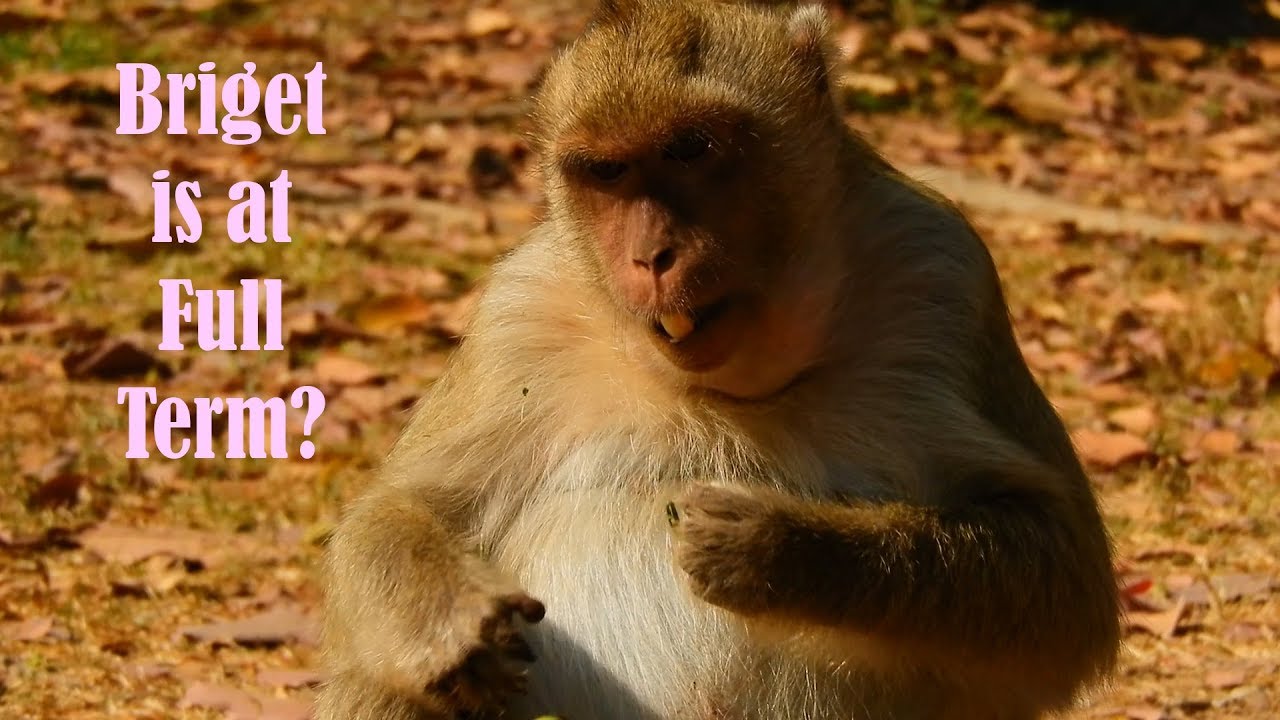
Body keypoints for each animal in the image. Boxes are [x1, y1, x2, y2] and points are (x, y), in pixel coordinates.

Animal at [315, 1, 1121, 719]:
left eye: (691, 149)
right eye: (606, 172)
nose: (652, 255)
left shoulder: (944, 275)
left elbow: (1066, 580)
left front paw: (781, 550)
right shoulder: (520, 315)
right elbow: (402, 509)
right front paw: (453, 622)